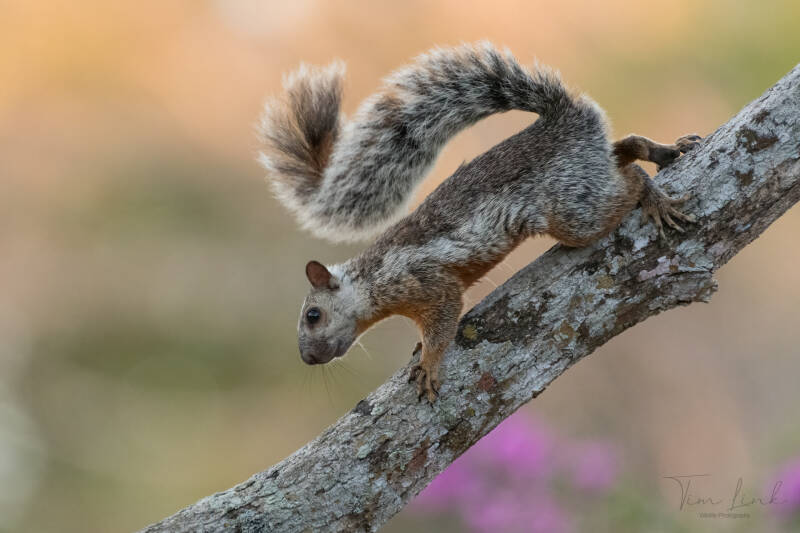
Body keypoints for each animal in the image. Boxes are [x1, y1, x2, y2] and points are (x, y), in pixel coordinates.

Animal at [258, 42, 701, 403]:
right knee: (623, 149)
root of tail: (564, 118)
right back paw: (665, 151)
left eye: (313, 315)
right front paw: (418, 349)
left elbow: (443, 321)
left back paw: (654, 195)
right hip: (588, 175)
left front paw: (429, 364)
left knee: (628, 180)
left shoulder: (428, 282)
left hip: (574, 211)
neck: (373, 280)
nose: (308, 358)